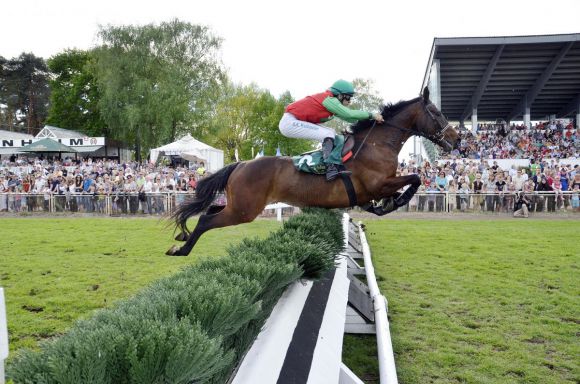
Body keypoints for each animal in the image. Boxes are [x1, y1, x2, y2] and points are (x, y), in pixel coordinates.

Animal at [167, 86, 458, 255]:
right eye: (436, 112)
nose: (456, 139)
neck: (375, 144)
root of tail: (241, 163)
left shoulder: (381, 185)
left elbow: (411, 182)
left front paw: (387, 204)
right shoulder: (378, 183)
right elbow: (415, 178)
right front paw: (392, 202)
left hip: (238, 204)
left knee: (208, 212)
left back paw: (182, 238)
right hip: (244, 210)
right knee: (205, 221)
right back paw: (181, 250)